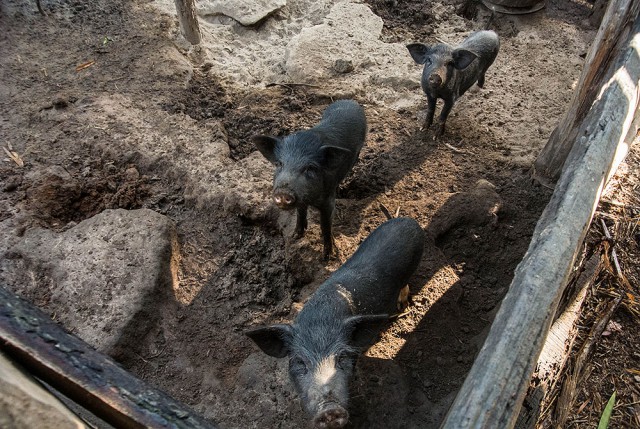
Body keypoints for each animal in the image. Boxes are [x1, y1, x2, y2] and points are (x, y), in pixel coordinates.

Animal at [252, 99, 368, 260]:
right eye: (279, 163)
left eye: (310, 168)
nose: (283, 192)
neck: (310, 198)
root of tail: (350, 101)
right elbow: (300, 212)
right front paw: (295, 236)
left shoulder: (328, 200)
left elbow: (325, 225)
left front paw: (328, 257)